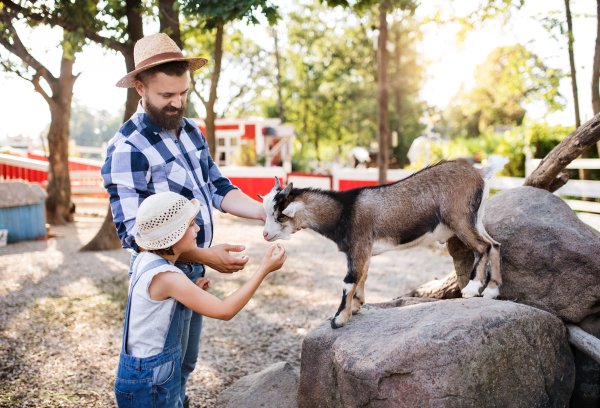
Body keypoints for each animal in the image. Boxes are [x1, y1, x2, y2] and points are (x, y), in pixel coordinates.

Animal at [258, 156, 506, 328]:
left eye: (280, 215)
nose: (265, 235)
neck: (344, 210)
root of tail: (482, 173)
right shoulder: (365, 250)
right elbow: (362, 277)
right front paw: (356, 306)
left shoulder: (359, 243)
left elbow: (349, 280)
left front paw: (339, 319)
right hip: (475, 219)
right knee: (494, 245)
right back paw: (492, 291)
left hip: (459, 218)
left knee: (482, 247)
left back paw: (472, 289)